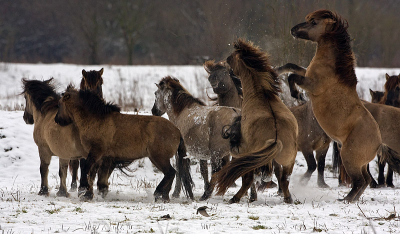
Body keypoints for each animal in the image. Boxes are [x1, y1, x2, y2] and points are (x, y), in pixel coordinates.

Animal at [54, 86, 194, 201]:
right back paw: (164, 197)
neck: (96, 120)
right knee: (171, 173)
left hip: (158, 157)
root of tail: (177, 131)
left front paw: (83, 189)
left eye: (60, 104)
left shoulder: (95, 152)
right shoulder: (100, 157)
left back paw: (158, 193)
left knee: (170, 173)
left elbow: (86, 169)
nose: (57, 120)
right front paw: (89, 194)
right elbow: (93, 174)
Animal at [211, 39, 298, 204]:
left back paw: (235, 198)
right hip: (288, 159)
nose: (231, 73)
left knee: (248, 178)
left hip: (252, 157)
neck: (262, 95)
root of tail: (276, 137)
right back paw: (288, 198)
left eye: (230, 59)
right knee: (284, 179)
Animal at [290, 10, 400, 202]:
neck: (332, 69)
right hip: (359, 162)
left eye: (313, 22)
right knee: (365, 180)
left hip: (349, 158)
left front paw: (295, 93)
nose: (293, 30)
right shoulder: (307, 75)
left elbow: (293, 77)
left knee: (360, 181)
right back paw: (351, 199)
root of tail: (379, 143)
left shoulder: (312, 85)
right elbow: (293, 69)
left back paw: (346, 199)